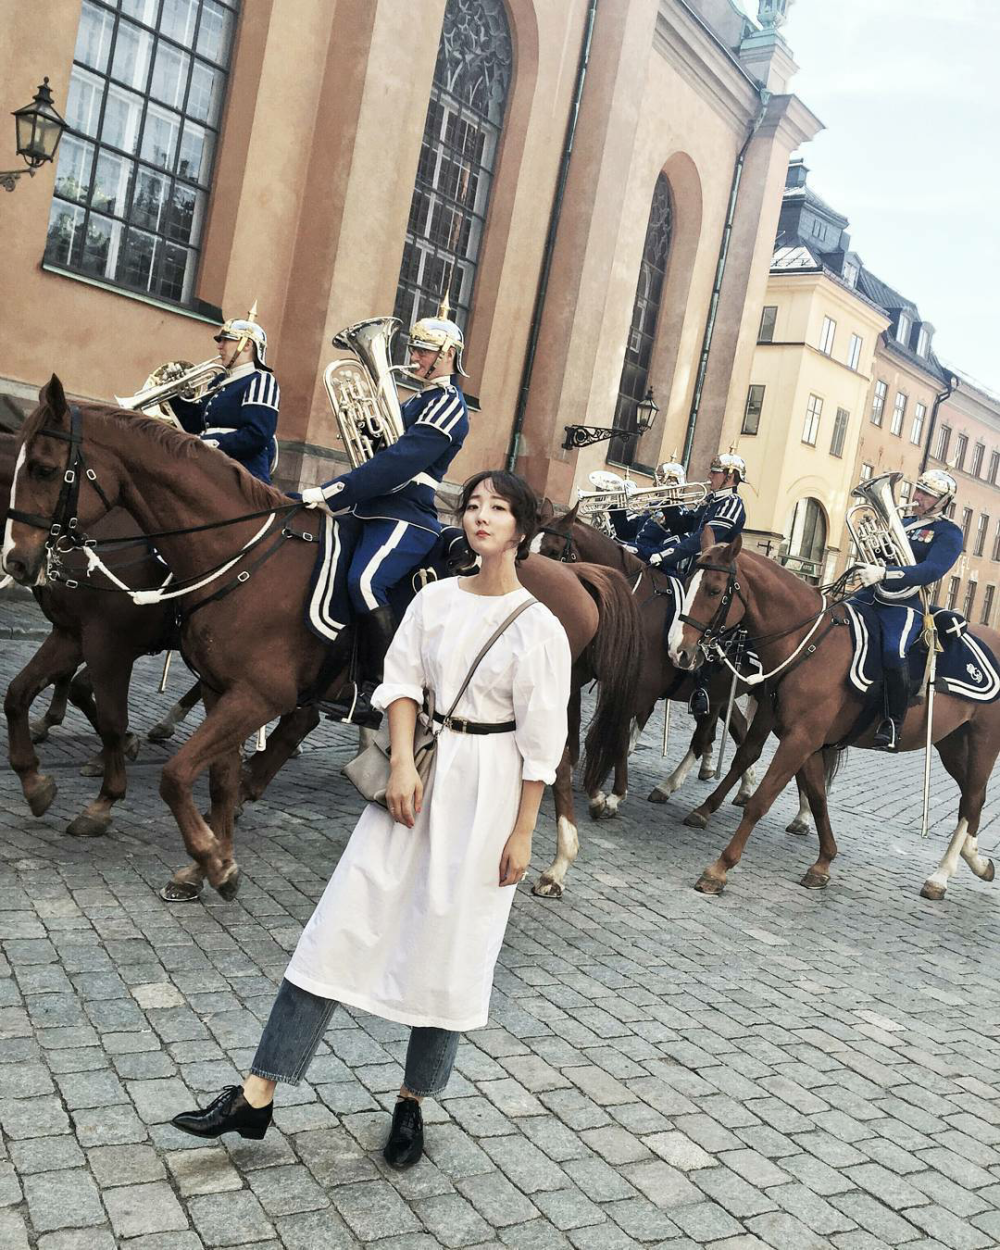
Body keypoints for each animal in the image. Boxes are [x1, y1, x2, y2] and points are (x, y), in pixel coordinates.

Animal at [5, 375, 640, 905]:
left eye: (43, 468)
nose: (18, 560)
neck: (244, 557)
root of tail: (573, 573)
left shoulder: (209, 678)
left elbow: (167, 766)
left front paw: (206, 856)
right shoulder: (213, 688)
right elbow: (213, 777)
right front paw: (207, 860)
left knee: (556, 762)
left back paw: (556, 862)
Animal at [670, 527, 1000, 900]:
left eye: (713, 590)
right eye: (687, 579)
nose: (679, 650)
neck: (809, 643)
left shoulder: (800, 739)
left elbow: (762, 800)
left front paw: (719, 869)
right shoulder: (802, 737)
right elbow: (816, 797)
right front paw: (823, 861)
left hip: (983, 743)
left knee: (973, 798)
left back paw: (941, 876)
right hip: (952, 744)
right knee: (971, 801)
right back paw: (976, 862)